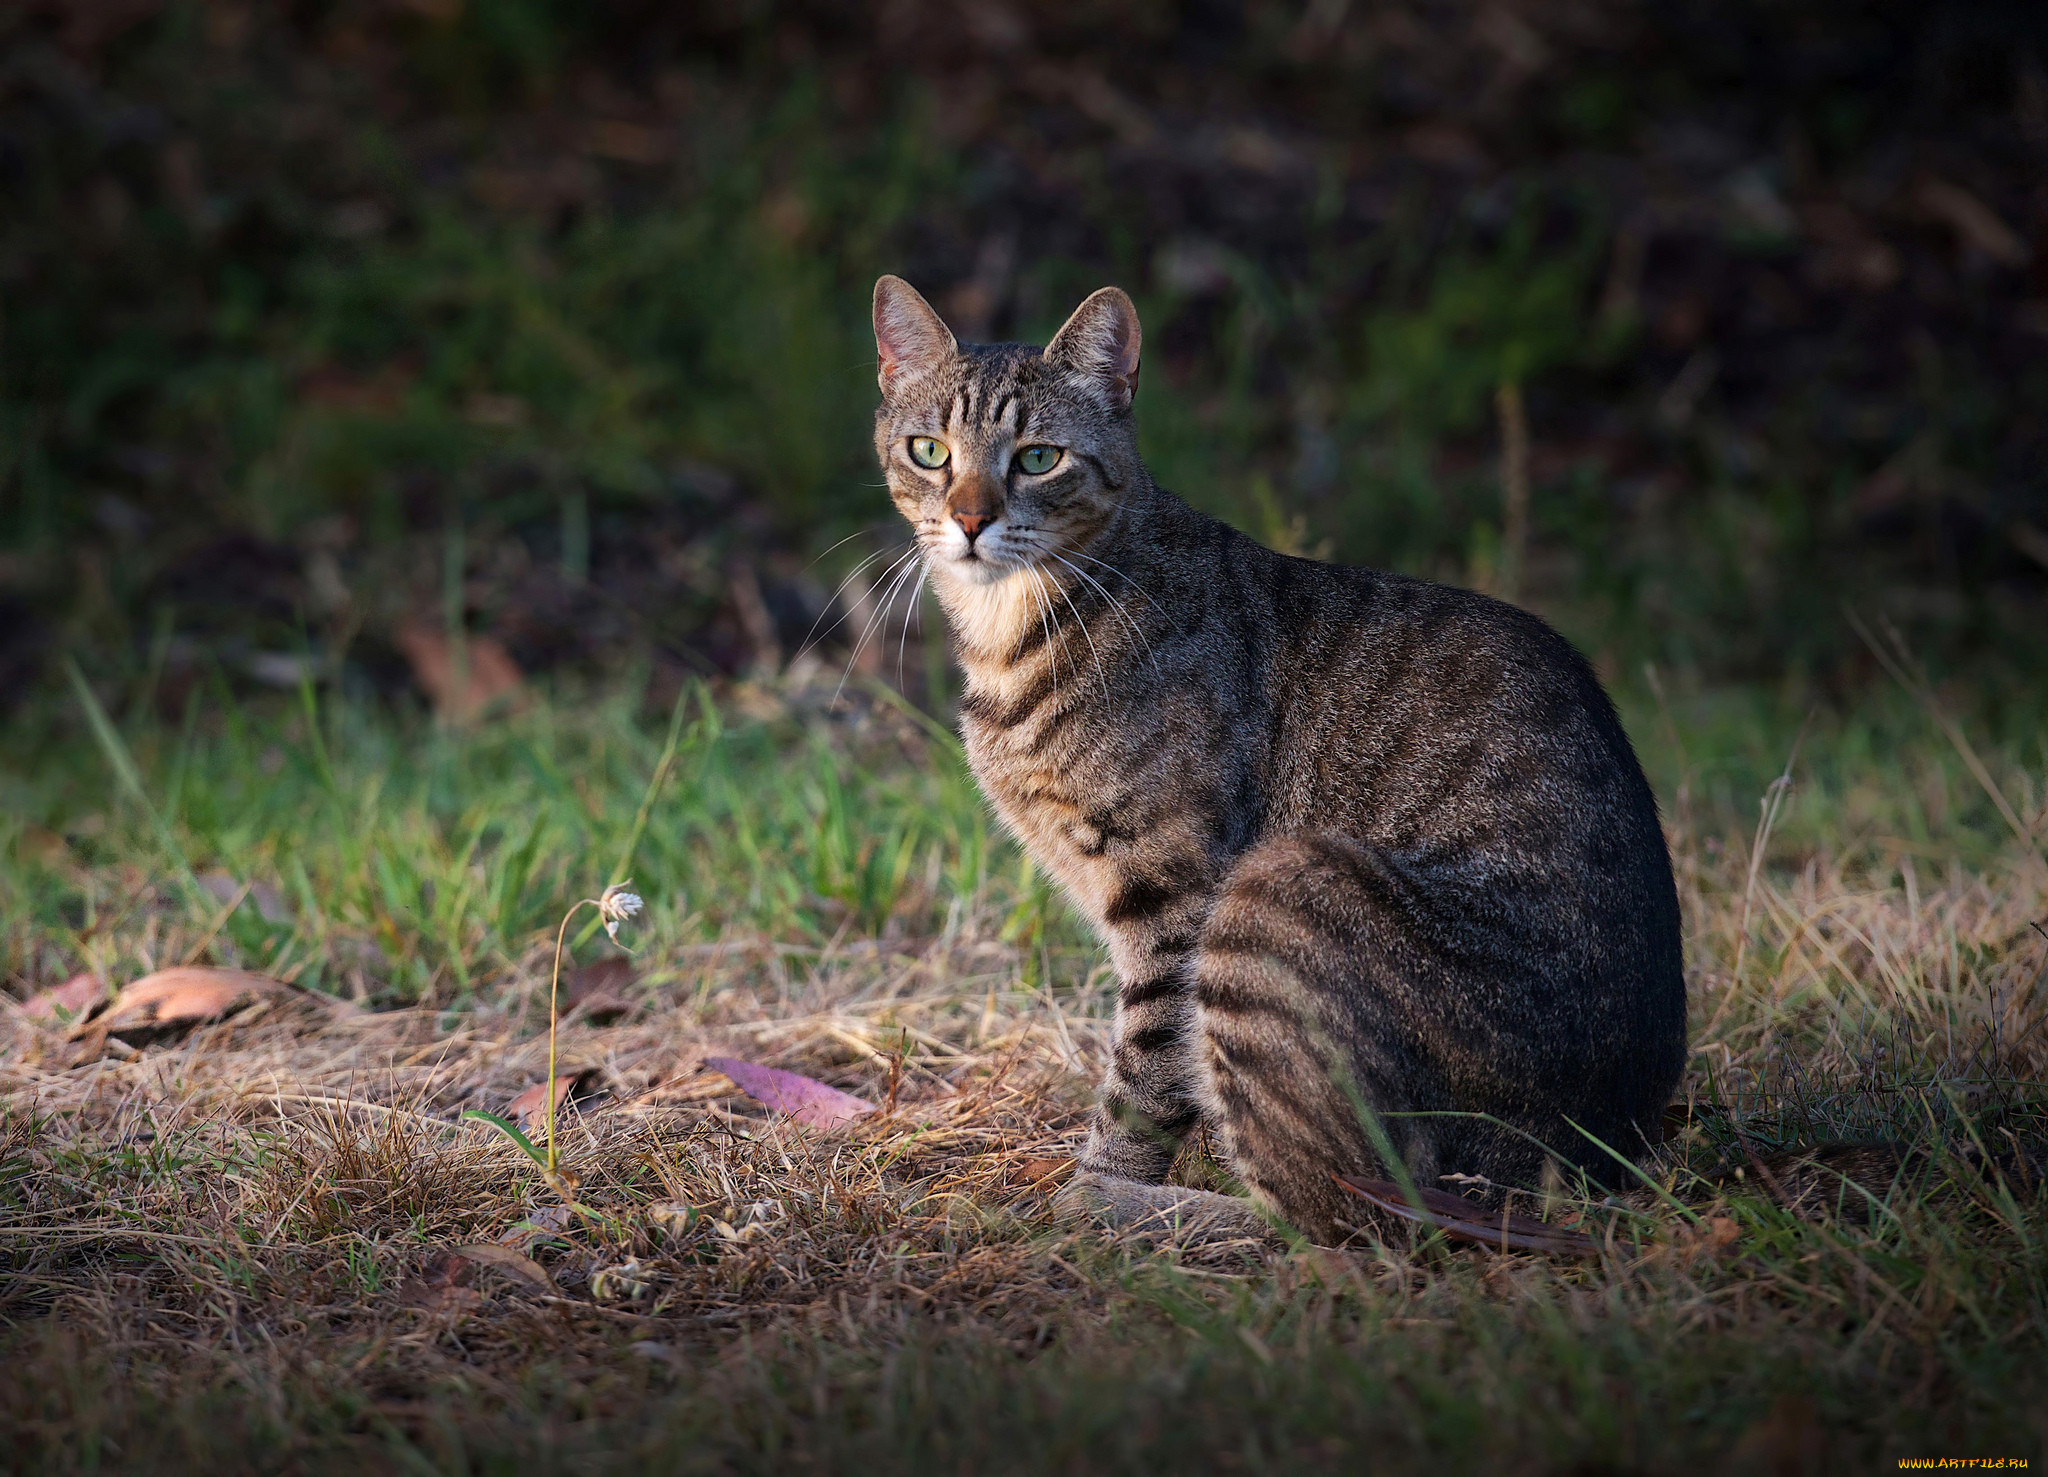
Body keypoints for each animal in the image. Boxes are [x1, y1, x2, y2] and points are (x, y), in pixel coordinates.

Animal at [872, 276, 1687, 1245]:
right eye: (929, 452)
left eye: (1038, 458)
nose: (968, 519)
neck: (1010, 639)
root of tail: (1611, 1148)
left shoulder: (1173, 895)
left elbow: (1145, 1075)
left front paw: (1098, 1183)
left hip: (1278, 887)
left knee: (1336, 1214)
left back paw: (1135, 1209)